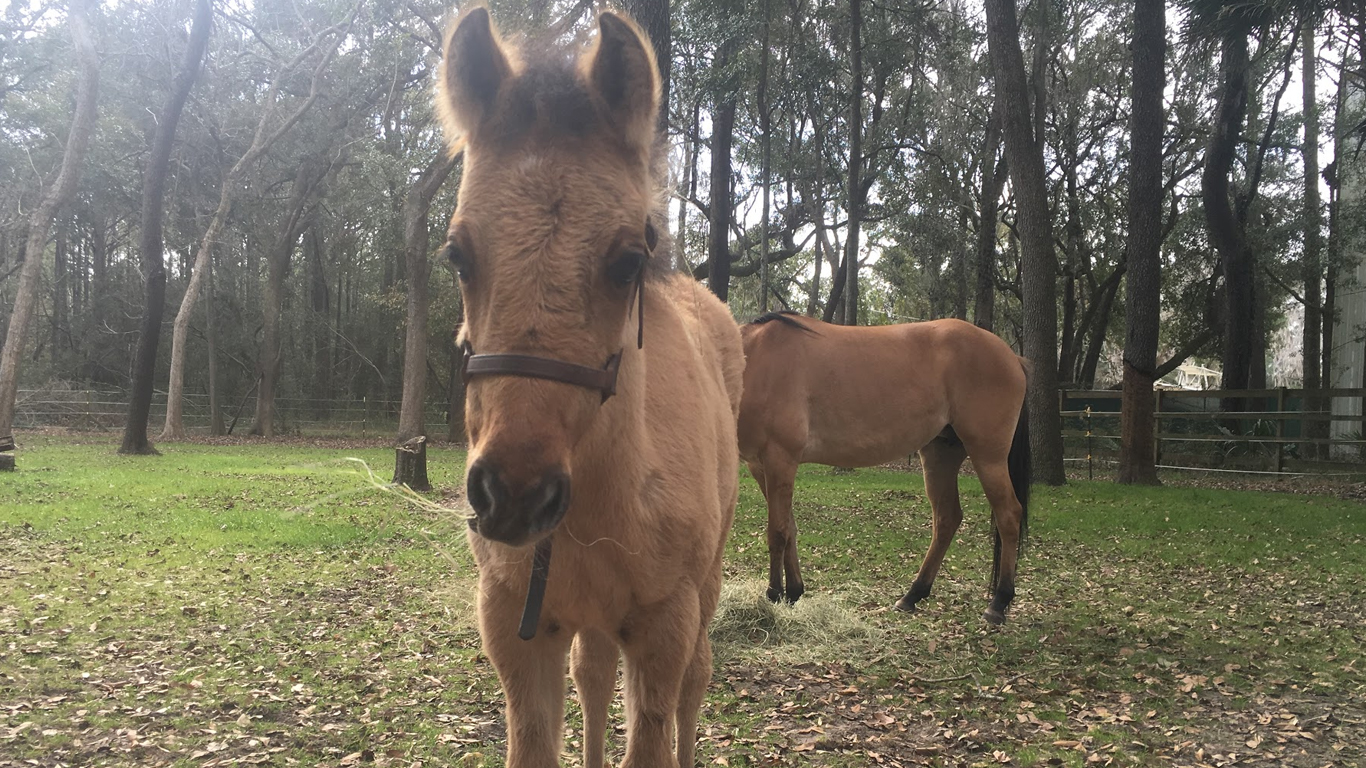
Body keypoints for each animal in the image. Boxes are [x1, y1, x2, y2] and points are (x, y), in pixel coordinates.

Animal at [437, 7, 743, 765]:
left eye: (628, 260)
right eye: (457, 254)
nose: (514, 494)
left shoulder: (664, 627)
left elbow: (656, 728)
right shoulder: (517, 627)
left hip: (705, 587)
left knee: (697, 678)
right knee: (595, 672)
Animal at [743, 311, 1027, 623]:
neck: (755, 359)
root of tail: (1012, 357)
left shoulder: (780, 460)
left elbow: (778, 532)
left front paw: (774, 594)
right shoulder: (760, 466)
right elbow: (790, 528)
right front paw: (793, 592)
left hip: (989, 457)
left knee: (1009, 515)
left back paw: (999, 602)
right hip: (940, 455)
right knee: (947, 519)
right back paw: (913, 594)